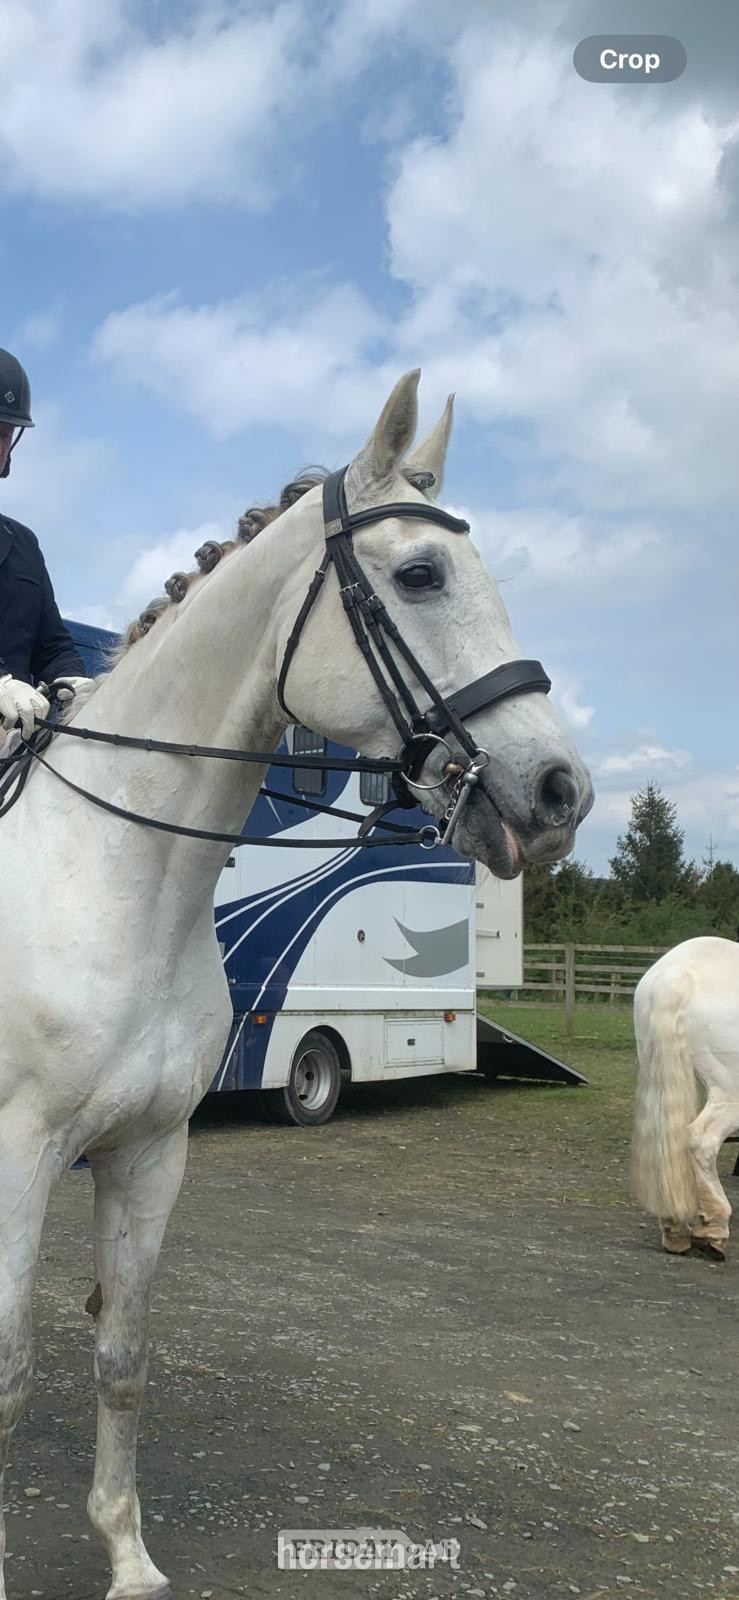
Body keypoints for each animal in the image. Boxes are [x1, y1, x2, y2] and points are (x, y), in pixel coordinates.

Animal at [0, 370, 593, 1599]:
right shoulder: (18, 1151)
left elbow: (121, 1352)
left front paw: (129, 1558)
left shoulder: (150, 1150)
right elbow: (9, 1373)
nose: (560, 790)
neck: (112, 876)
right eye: (418, 576)